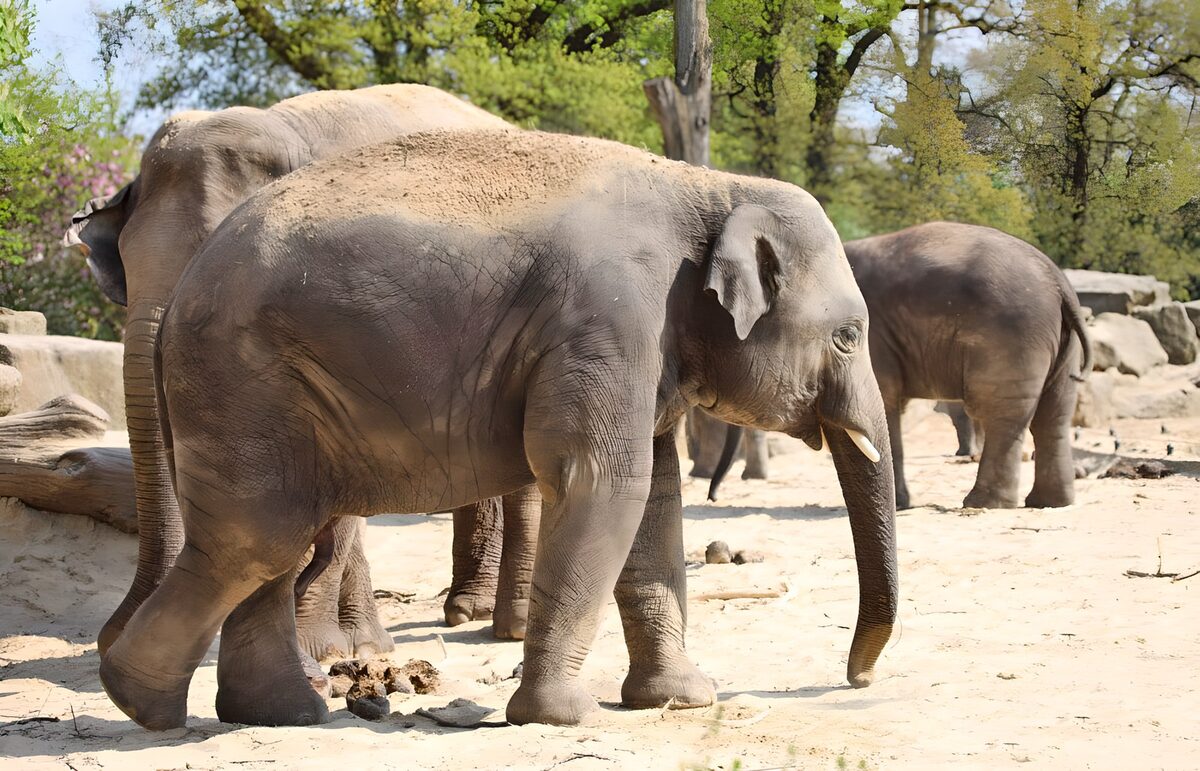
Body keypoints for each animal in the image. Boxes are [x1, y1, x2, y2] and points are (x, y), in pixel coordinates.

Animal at [63, 84, 518, 660]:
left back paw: (478, 615)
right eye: (122, 260)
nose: (109, 640)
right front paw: (349, 644)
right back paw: (464, 609)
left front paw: (336, 648)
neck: (283, 130)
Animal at [97, 128, 899, 730]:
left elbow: (655, 500)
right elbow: (601, 485)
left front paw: (678, 699)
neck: (710, 186)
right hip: (242, 380)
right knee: (258, 538)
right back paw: (139, 699)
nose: (857, 679)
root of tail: (175, 300)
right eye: (848, 337)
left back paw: (276, 715)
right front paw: (562, 716)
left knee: (271, 542)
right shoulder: (607, 319)